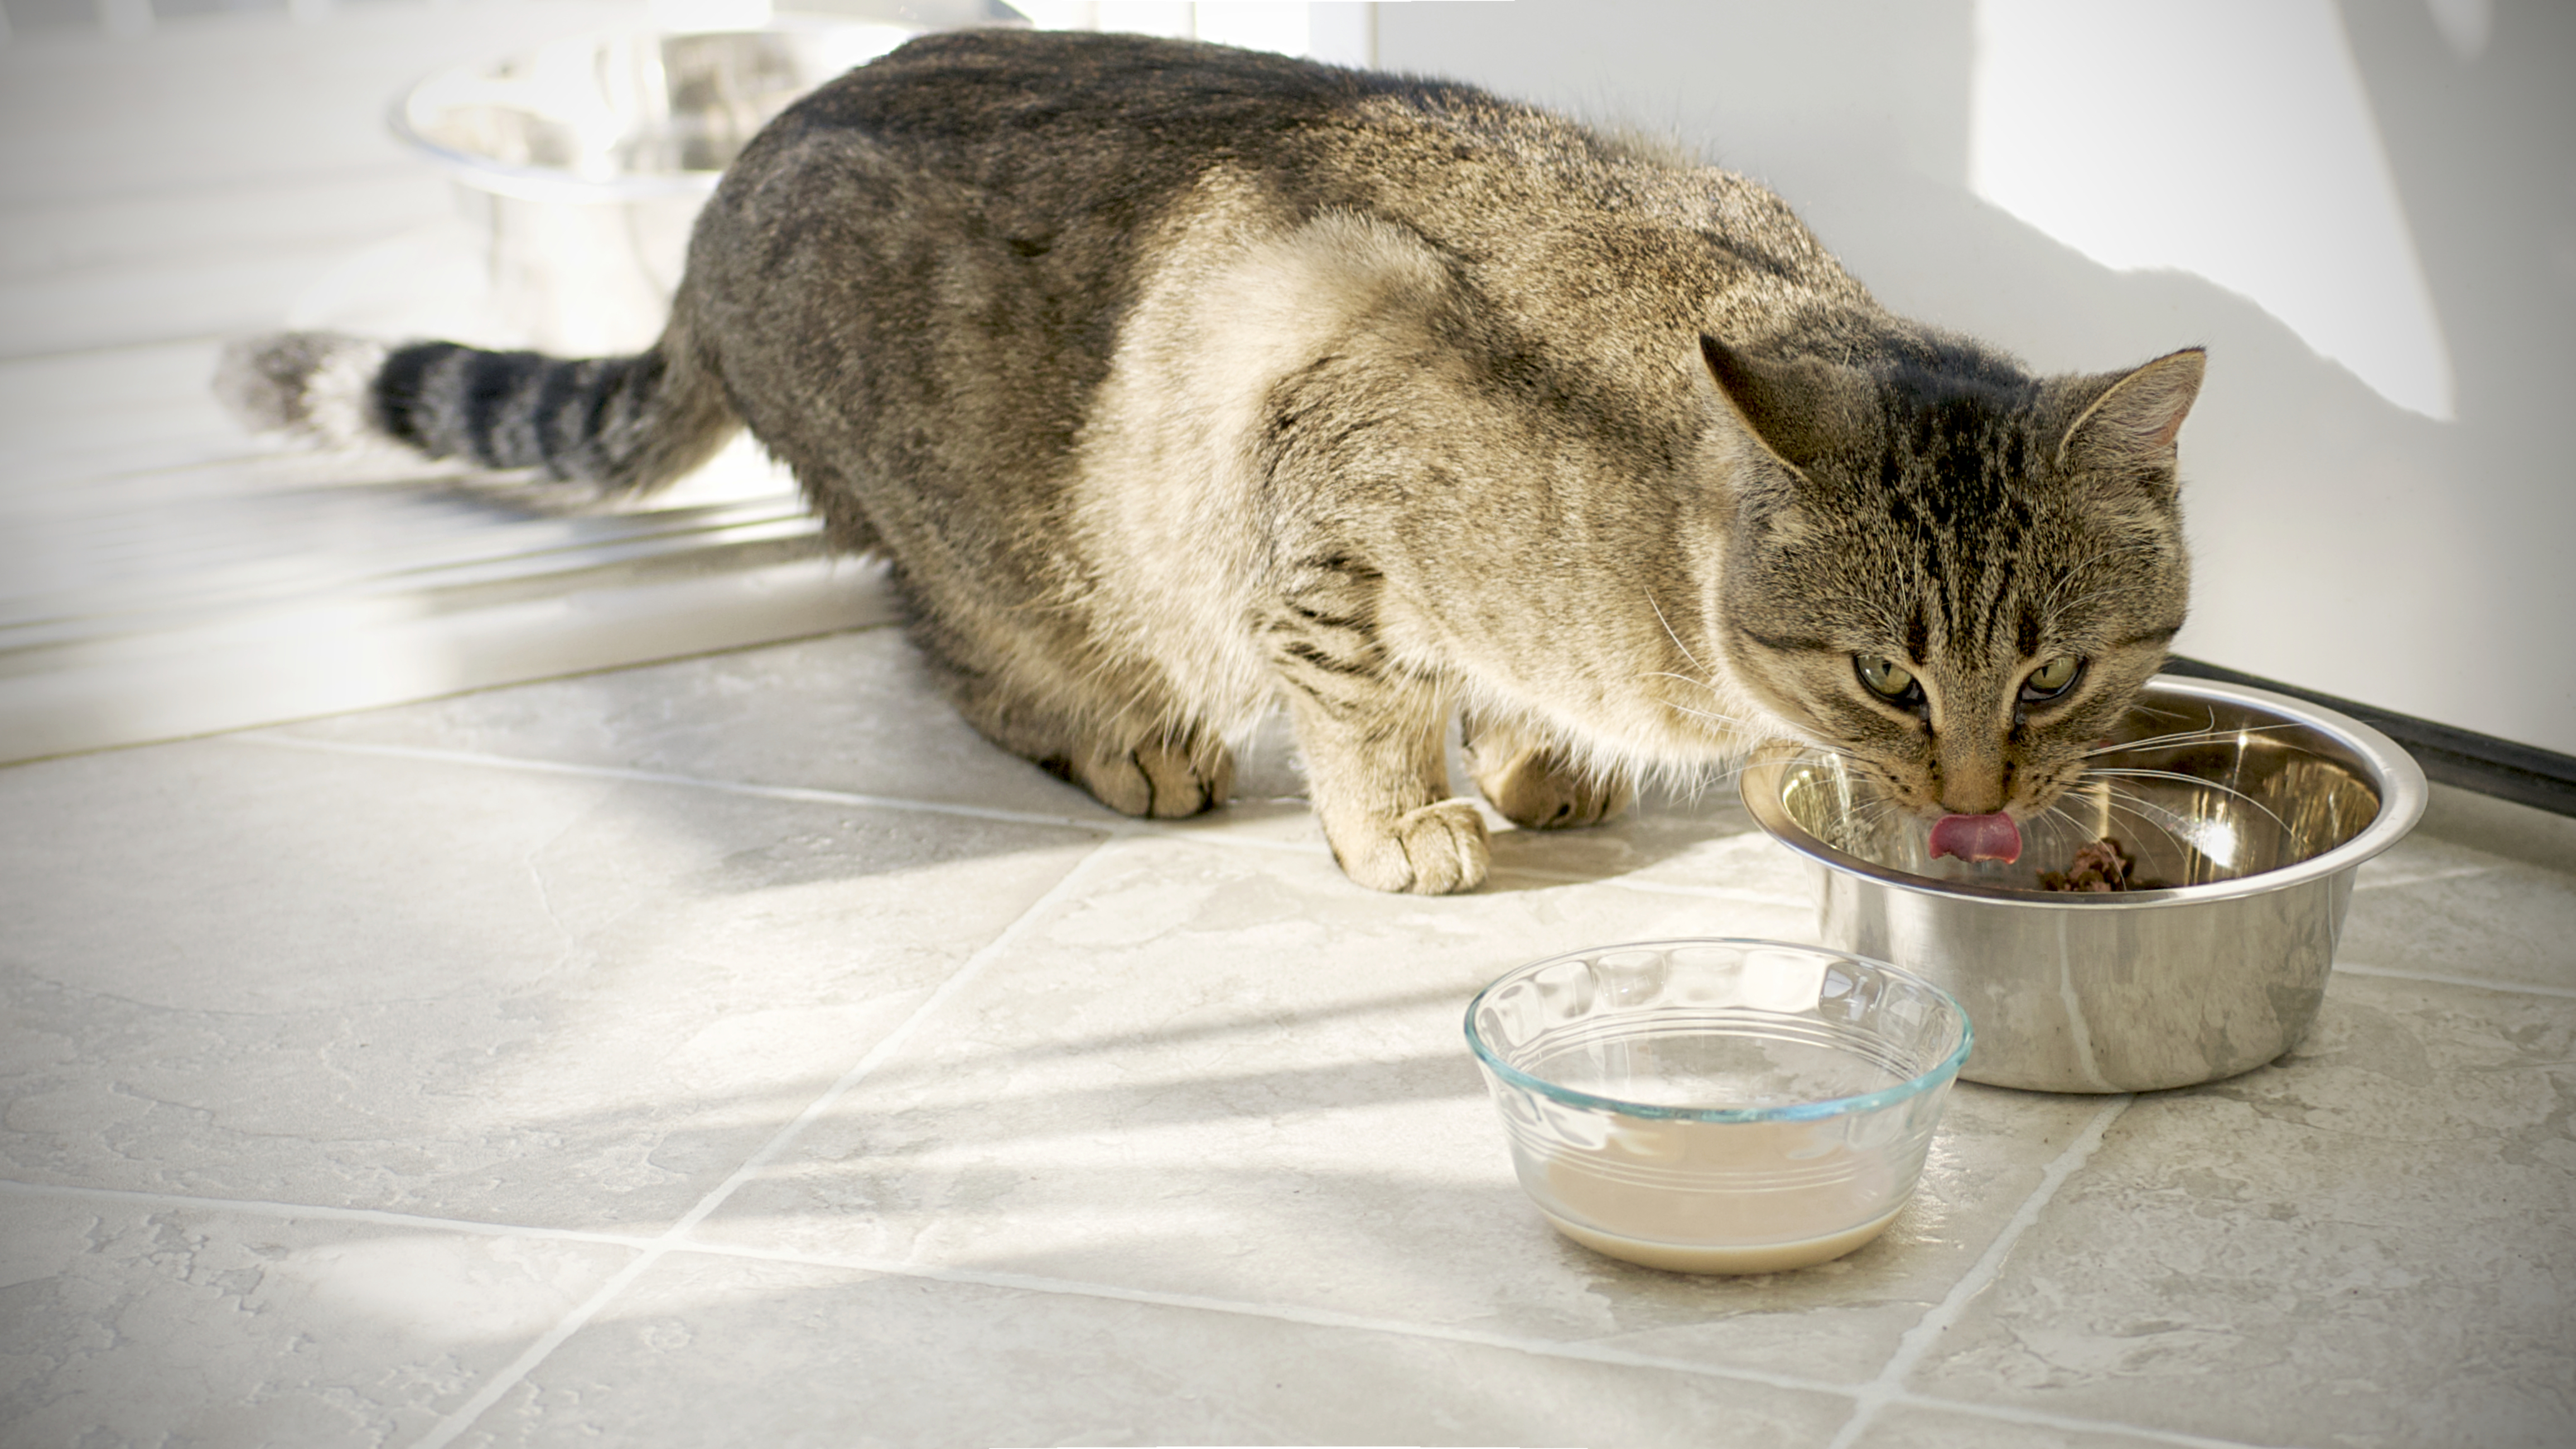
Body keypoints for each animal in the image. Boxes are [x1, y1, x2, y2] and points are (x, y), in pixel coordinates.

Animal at [216, 28, 2215, 895]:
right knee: (958, 648)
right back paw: (1119, 735)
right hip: (989, 552)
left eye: (2053, 672)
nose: (1979, 791)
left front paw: (1536, 755)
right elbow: (1358, 697)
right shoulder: (1320, 504)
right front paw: (1400, 814)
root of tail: (711, 217)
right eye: (1889, 675)